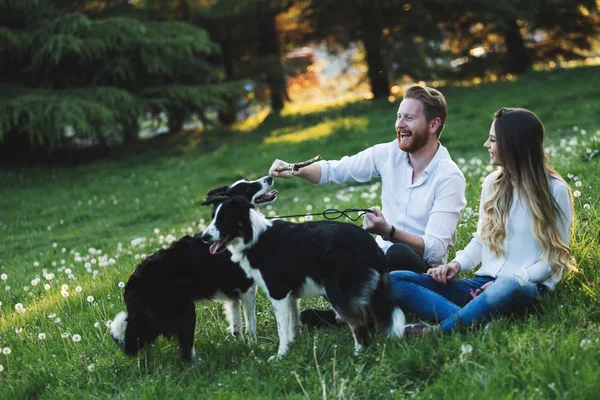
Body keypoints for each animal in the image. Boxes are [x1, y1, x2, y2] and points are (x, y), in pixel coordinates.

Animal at [110, 175, 276, 360]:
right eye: (248, 188)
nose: (269, 177)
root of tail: (132, 281)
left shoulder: (233, 296)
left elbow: (236, 327)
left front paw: (242, 346)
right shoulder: (246, 289)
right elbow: (251, 324)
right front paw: (255, 347)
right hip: (184, 311)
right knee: (185, 352)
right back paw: (200, 362)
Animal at [200, 195, 404, 360]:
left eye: (225, 218)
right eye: (213, 217)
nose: (203, 237)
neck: (254, 237)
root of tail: (372, 245)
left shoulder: (278, 292)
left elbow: (282, 328)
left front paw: (281, 356)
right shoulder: (290, 295)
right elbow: (292, 325)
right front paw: (294, 346)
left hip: (337, 291)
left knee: (359, 323)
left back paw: (357, 355)